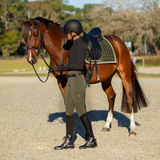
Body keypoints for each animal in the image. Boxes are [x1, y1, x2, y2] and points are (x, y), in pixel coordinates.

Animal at [19, 16, 148, 136]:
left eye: (35, 35)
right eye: (24, 36)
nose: (30, 59)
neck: (63, 50)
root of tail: (120, 42)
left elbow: (82, 106)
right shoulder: (61, 83)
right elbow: (68, 106)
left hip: (125, 75)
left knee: (130, 100)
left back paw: (132, 129)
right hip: (106, 79)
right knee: (111, 96)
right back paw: (107, 125)